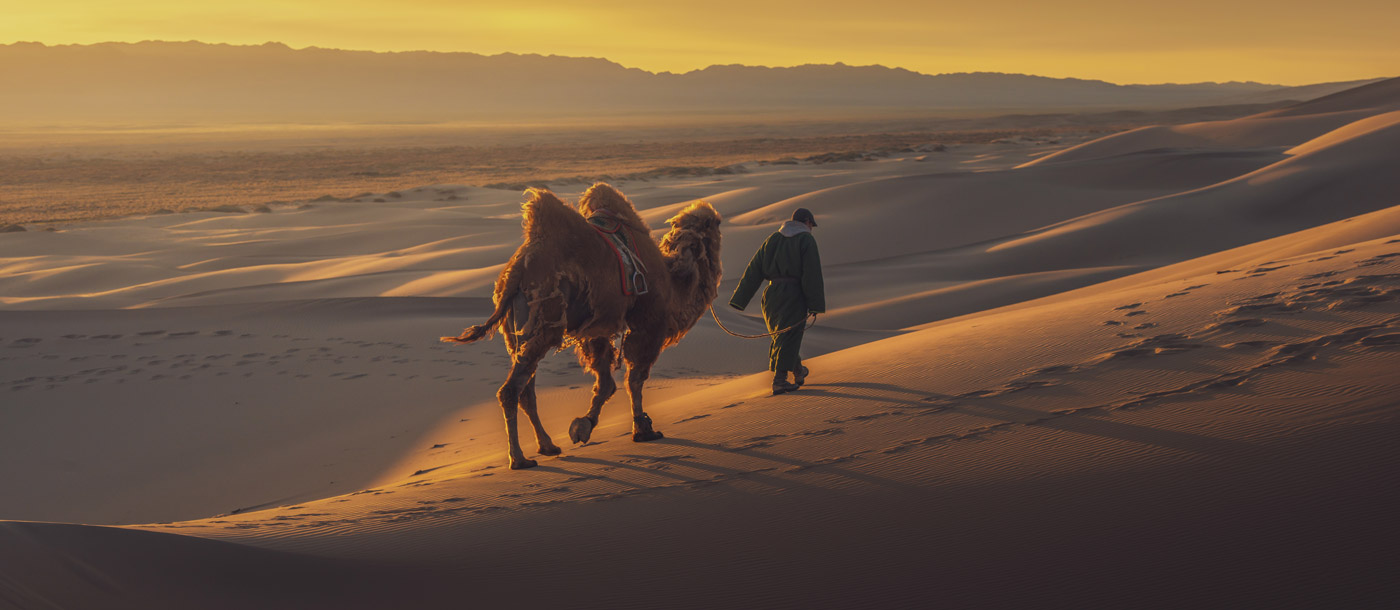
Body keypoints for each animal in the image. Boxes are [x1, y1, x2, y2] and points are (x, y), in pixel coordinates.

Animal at [439, 183, 728, 470]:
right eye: (716, 222)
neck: (673, 280)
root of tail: (514, 273)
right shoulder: (649, 324)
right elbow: (634, 379)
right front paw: (643, 430)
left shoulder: (596, 330)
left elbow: (606, 382)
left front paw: (583, 426)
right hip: (544, 323)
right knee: (511, 390)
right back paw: (519, 459)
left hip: (517, 334)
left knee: (526, 390)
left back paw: (548, 445)